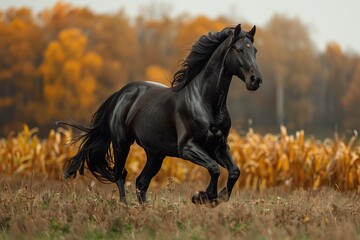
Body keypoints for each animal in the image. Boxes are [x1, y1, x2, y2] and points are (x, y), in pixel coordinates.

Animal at [62, 24, 262, 208]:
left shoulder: (218, 145)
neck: (206, 103)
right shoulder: (187, 147)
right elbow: (214, 168)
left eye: (255, 50)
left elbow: (234, 171)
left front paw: (215, 198)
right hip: (121, 144)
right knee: (120, 175)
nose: (256, 80)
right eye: (239, 49)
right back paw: (125, 207)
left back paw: (145, 209)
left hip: (155, 154)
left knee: (141, 182)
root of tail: (120, 93)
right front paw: (202, 197)